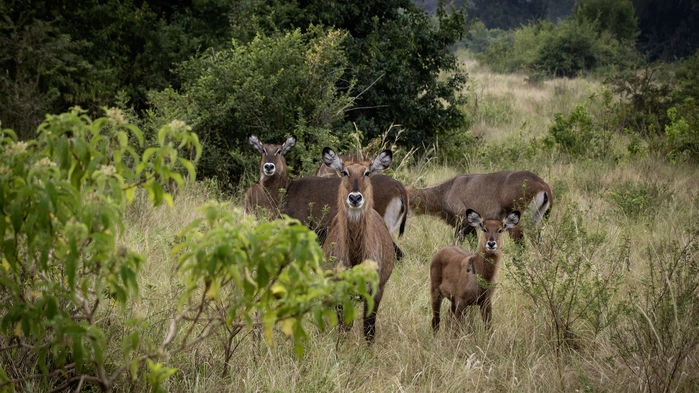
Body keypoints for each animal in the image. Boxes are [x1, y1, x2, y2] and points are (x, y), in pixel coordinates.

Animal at [322, 149, 394, 342]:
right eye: (344, 172)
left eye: (367, 172)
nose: (355, 197)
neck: (355, 258)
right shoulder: (340, 290)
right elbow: (344, 326)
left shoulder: (375, 291)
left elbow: (369, 328)